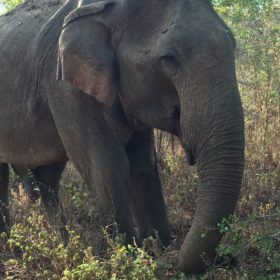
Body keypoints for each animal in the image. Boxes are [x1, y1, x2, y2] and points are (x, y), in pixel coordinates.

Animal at [0, 0, 244, 274]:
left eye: (232, 44)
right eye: (169, 59)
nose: (227, 258)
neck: (108, 10)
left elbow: (143, 165)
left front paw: (156, 249)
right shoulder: (65, 89)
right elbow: (106, 167)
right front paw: (126, 259)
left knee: (48, 177)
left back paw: (61, 246)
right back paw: (14, 249)